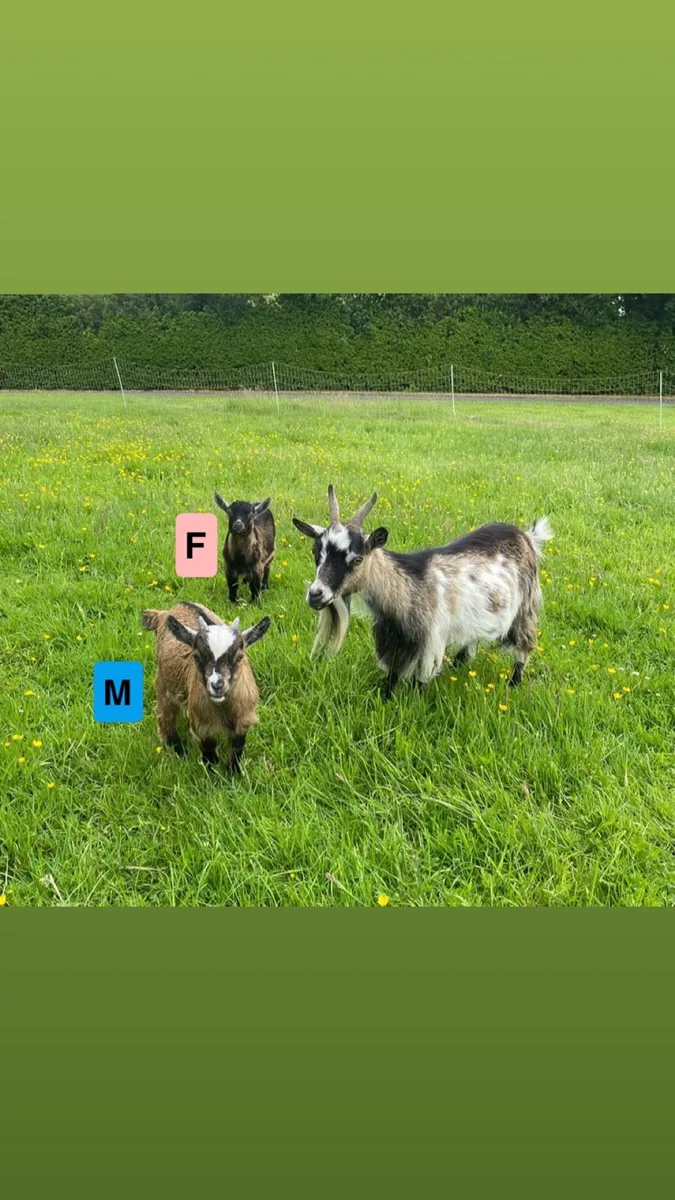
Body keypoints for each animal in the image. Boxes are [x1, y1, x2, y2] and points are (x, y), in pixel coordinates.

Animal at [141, 601, 271, 771]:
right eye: (196, 656)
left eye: (239, 657)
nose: (217, 685)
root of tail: (164, 613)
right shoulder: (202, 723)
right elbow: (210, 752)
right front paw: (212, 774)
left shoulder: (244, 719)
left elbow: (236, 750)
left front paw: (234, 772)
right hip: (163, 682)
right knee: (165, 716)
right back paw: (178, 750)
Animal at [293, 485, 553, 693]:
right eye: (315, 551)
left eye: (357, 559)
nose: (316, 594)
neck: (407, 588)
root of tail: (527, 536)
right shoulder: (395, 640)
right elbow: (391, 676)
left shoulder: (428, 643)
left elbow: (420, 682)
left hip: (525, 606)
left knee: (524, 646)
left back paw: (514, 684)